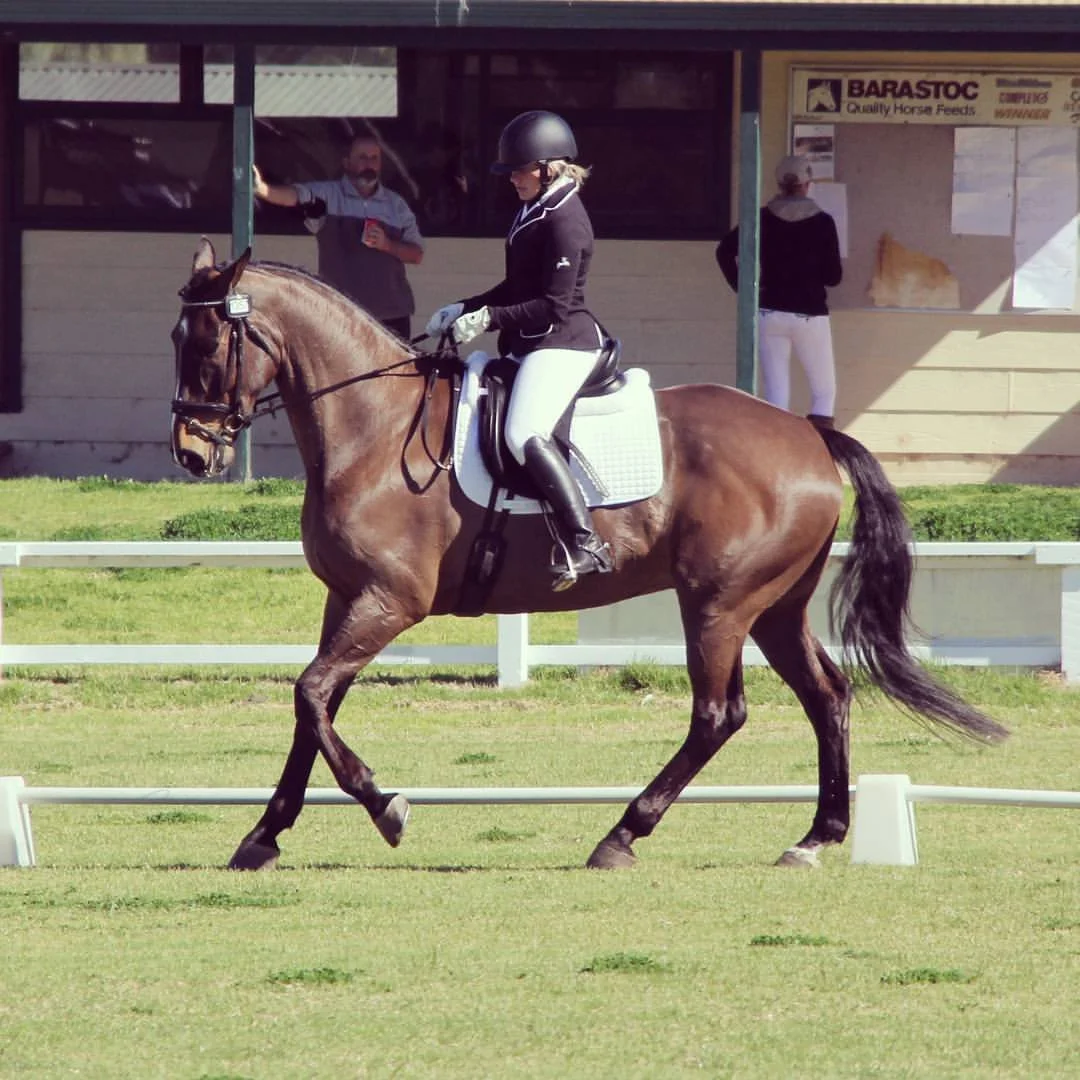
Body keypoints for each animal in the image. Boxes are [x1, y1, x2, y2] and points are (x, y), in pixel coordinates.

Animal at [170, 237, 1008, 872]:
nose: (191, 451)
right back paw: (815, 838)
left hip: (719, 602)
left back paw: (623, 834)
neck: (372, 427)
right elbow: (313, 708)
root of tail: (807, 431)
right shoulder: (345, 598)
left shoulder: (389, 602)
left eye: (207, 343)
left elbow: (311, 695)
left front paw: (388, 807)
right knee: (827, 695)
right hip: (775, 606)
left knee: (718, 713)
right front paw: (263, 836)